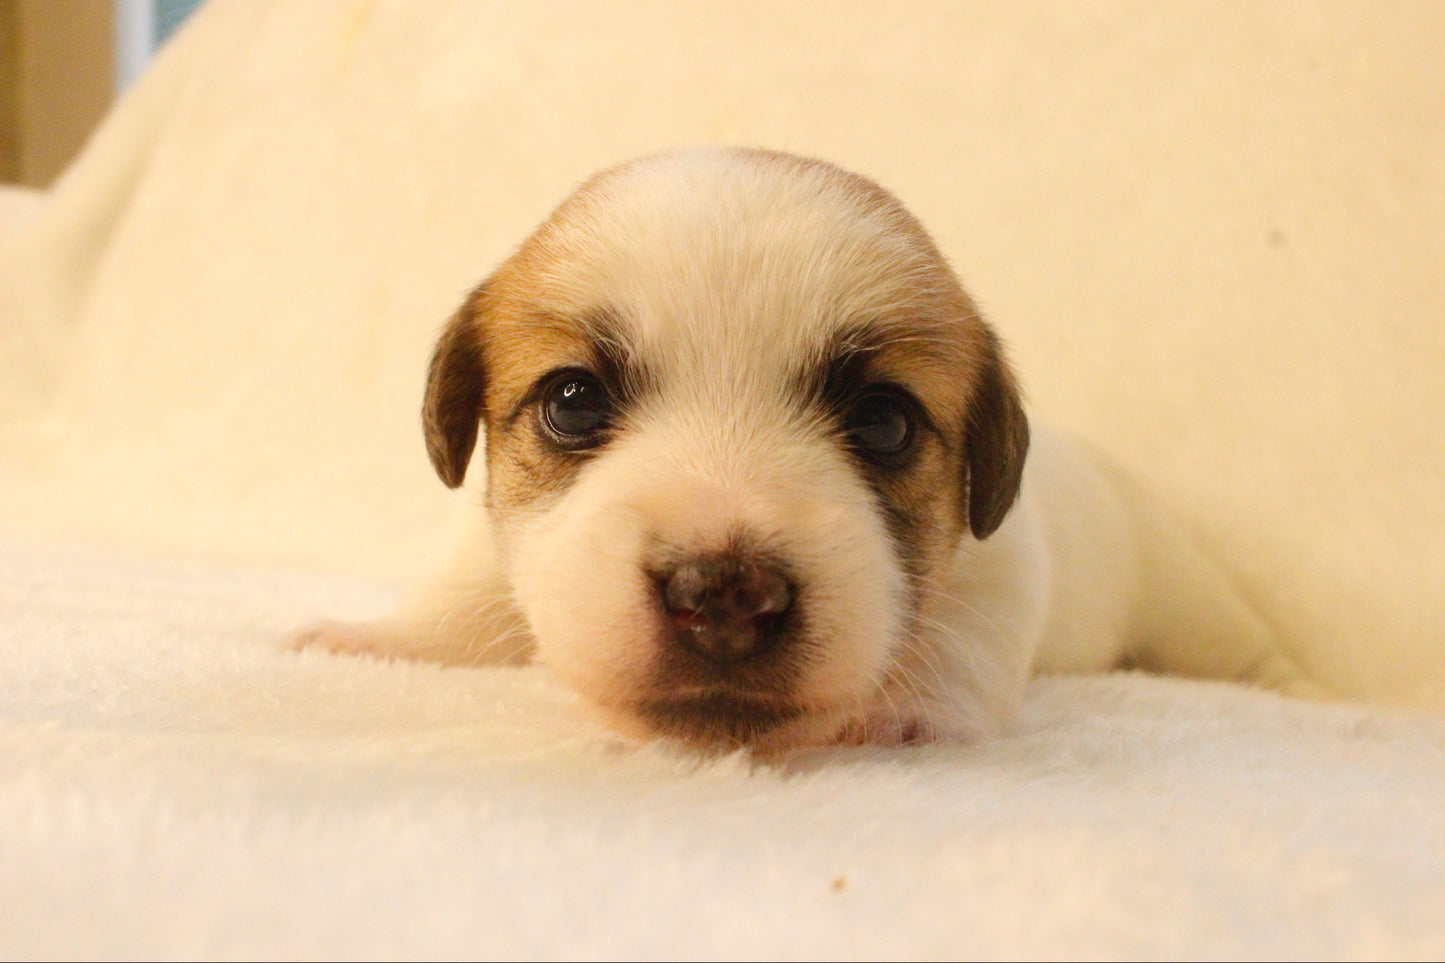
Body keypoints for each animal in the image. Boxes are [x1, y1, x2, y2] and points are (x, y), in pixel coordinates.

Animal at [296, 146, 1323, 751]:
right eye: (572, 402)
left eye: (884, 422)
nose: (722, 593)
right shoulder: (502, 547)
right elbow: (460, 599)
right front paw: (379, 638)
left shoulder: (1004, 560)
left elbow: (968, 640)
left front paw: (901, 710)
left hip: (1189, 599)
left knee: (1244, 650)